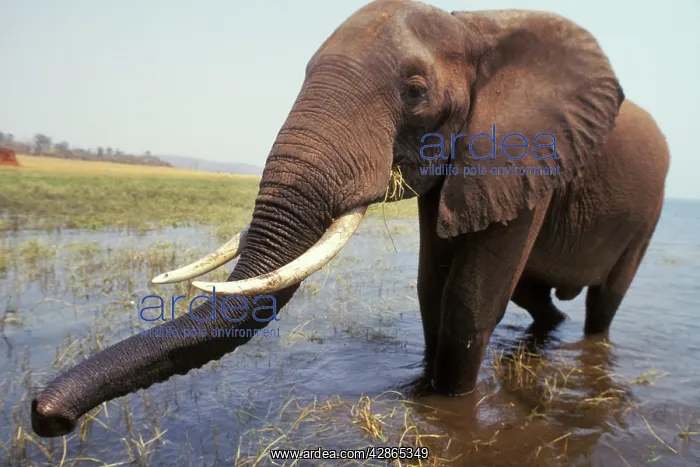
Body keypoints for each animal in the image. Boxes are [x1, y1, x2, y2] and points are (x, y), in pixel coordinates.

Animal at [31, 0, 669, 438]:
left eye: (416, 91)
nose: (44, 415)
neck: (473, 24)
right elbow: (431, 284)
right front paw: (421, 393)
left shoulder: (526, 150)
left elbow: (469, 298)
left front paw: (446, 408)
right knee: (535, 293)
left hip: (650, 211)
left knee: (604, 300)